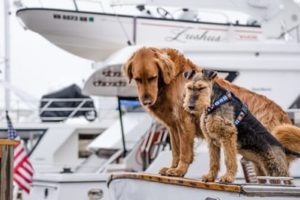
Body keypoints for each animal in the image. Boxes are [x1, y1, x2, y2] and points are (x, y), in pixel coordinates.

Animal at [122, 46, 300, 177]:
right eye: (137, 79)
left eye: (152, 77)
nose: (146, 101)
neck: (173, 78)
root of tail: (283, 115)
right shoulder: (173, 126)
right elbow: (176, 151)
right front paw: (172, 168)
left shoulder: (185, 122)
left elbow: (184, 151)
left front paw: (179, 170)